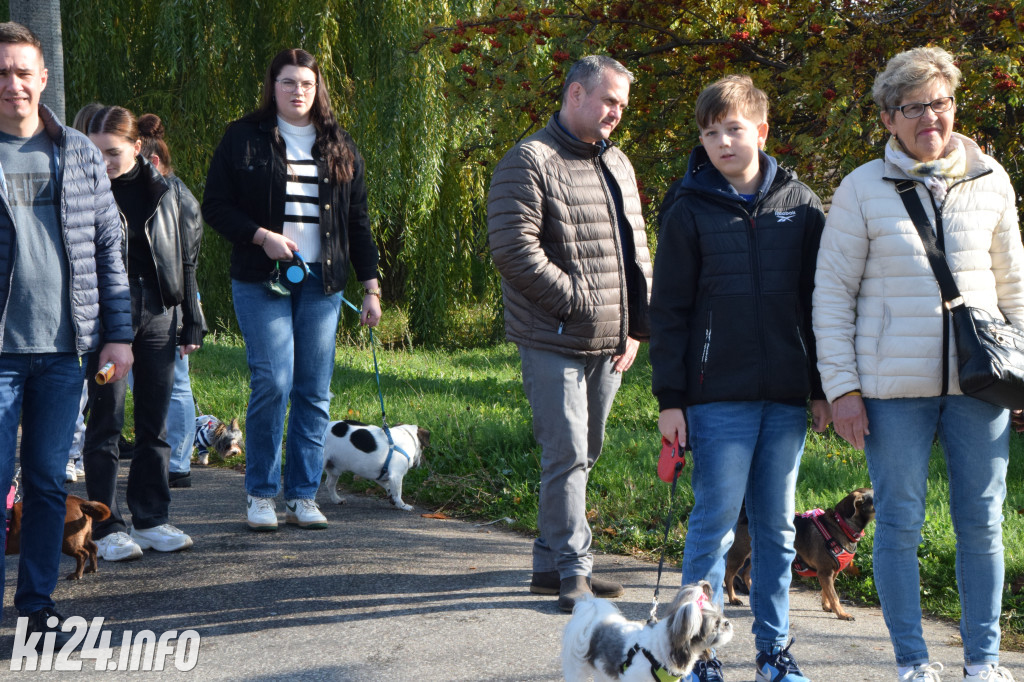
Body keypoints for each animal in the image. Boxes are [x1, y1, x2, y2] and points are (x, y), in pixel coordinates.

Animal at [724, 485, 876, 618]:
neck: (841, 525)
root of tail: (744, 511)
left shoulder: (831, 573)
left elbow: (826, 592)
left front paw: (827, 606)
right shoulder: (825, 572)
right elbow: (834, 596)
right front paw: (842, 614)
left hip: (757, 553)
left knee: (745, 574)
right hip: (739, 554)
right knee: (729, 576)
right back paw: (733, 598)